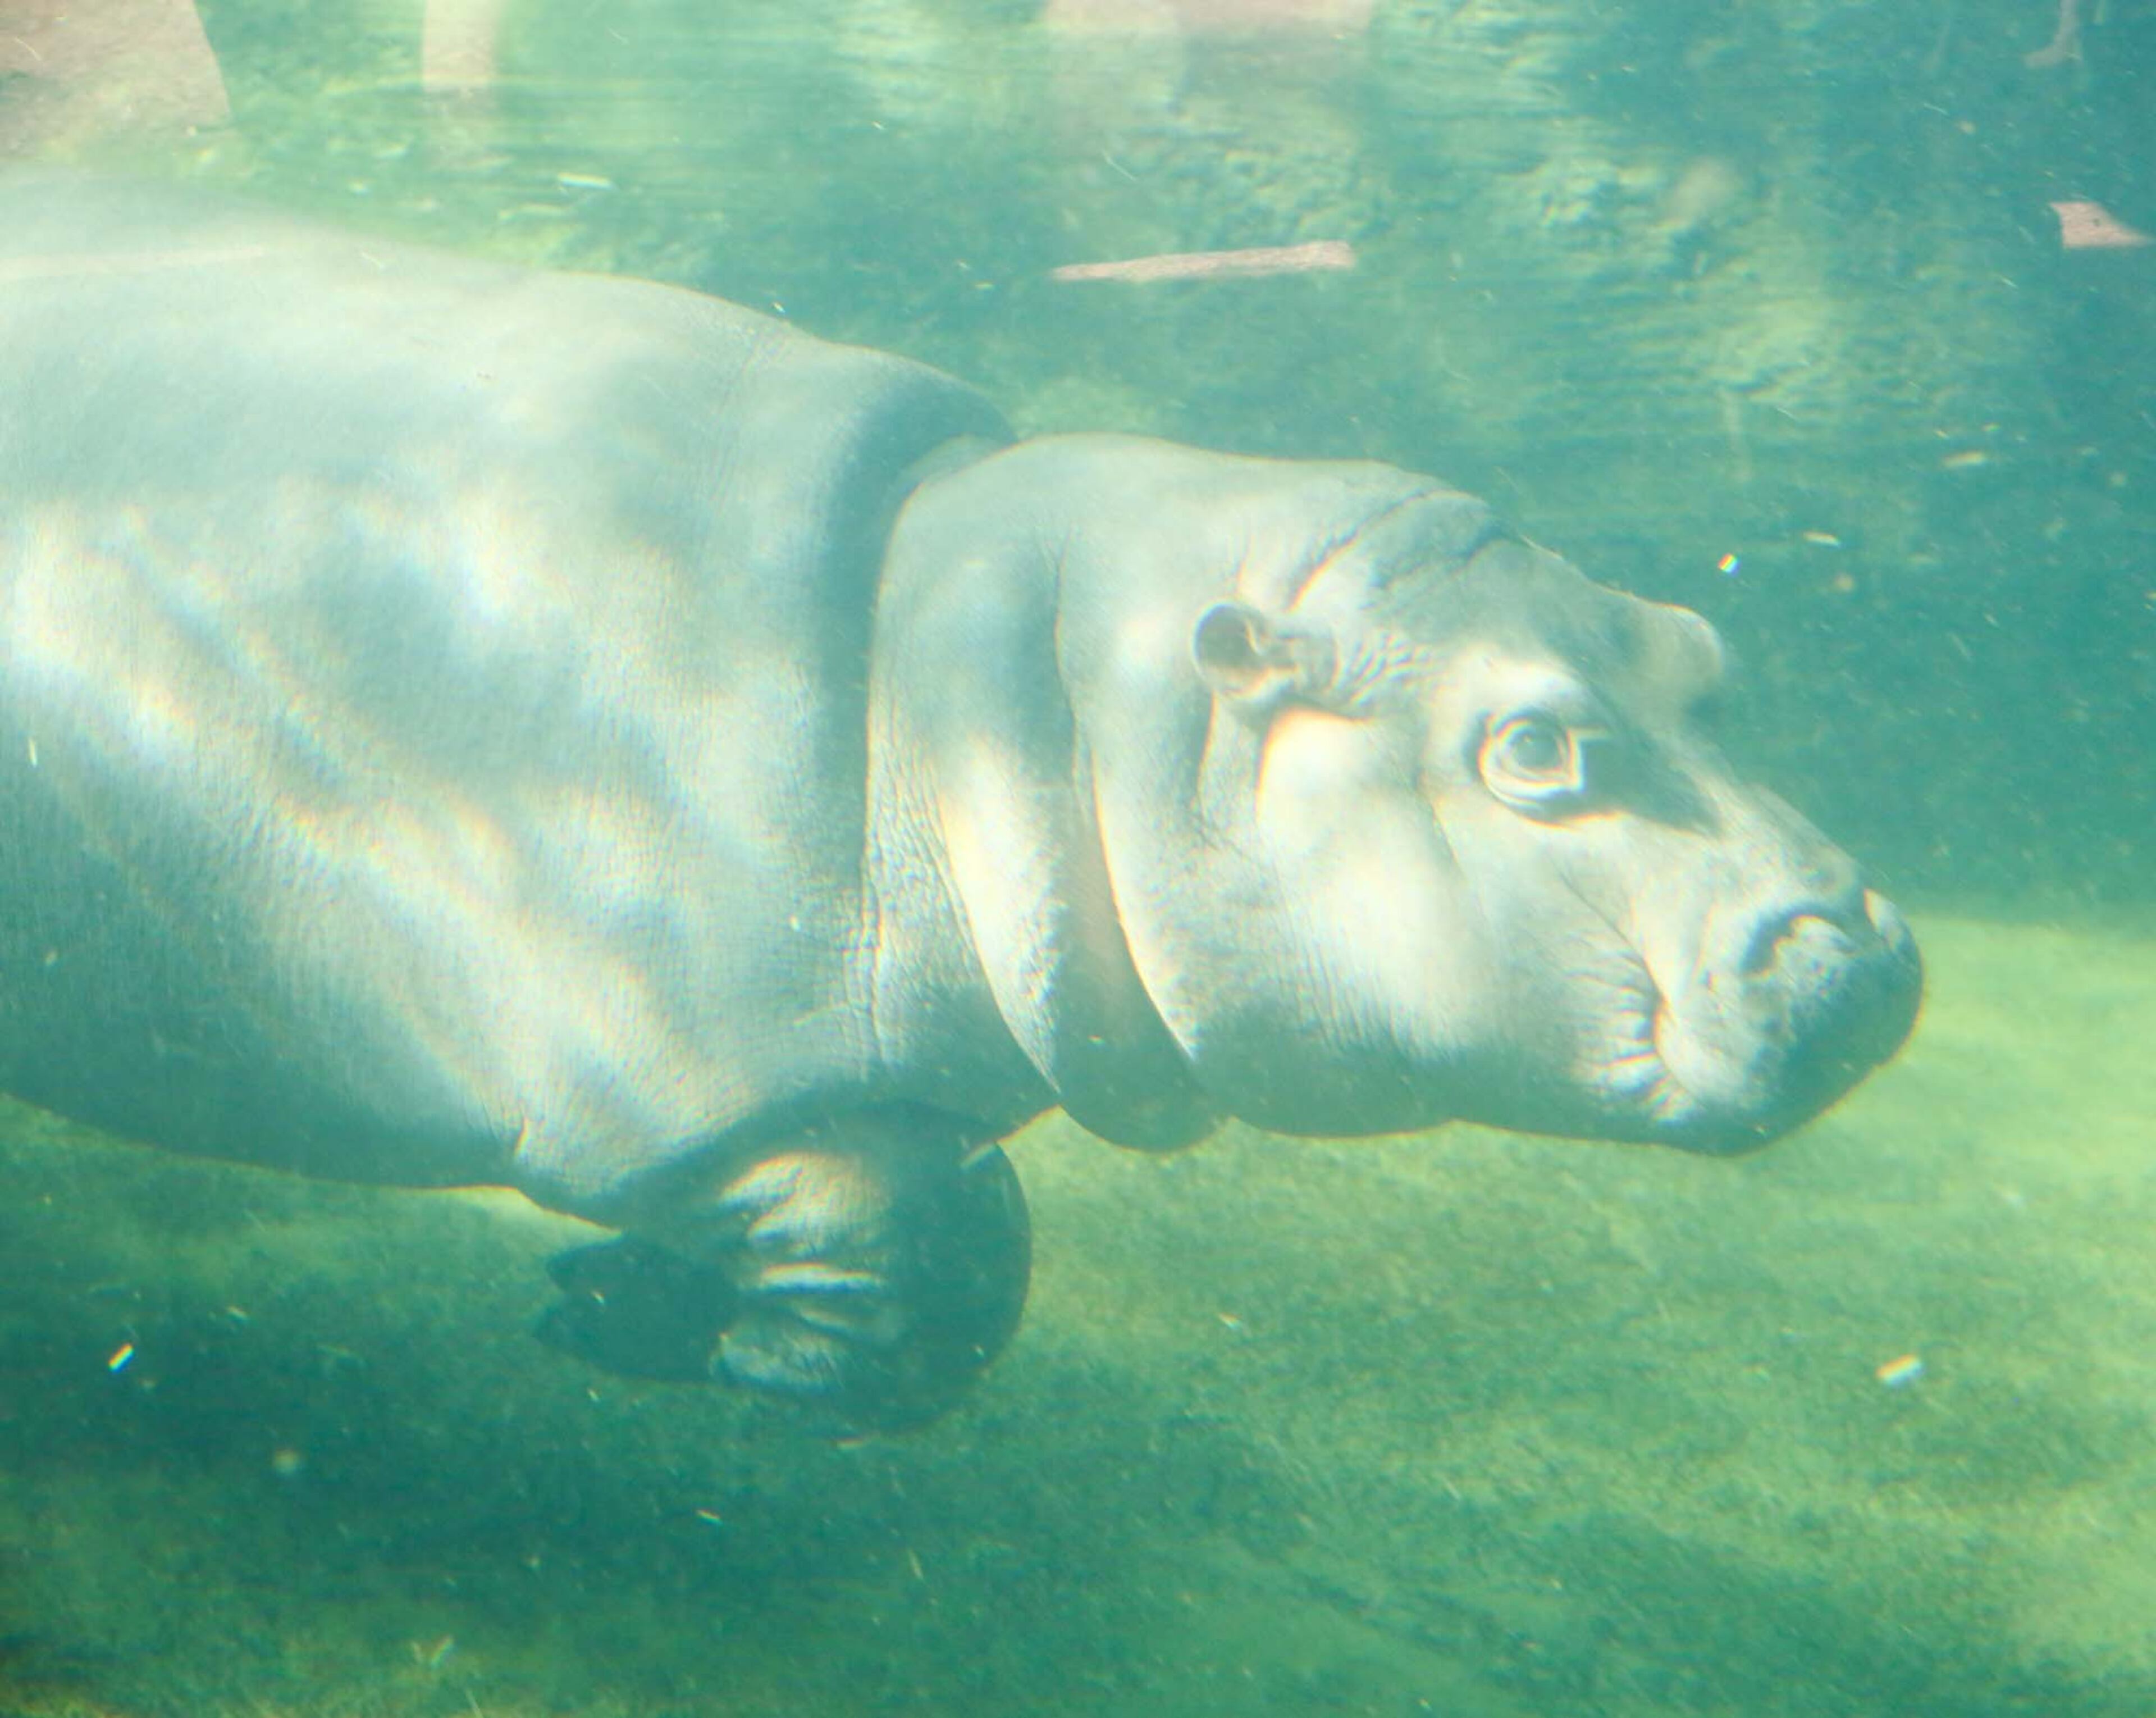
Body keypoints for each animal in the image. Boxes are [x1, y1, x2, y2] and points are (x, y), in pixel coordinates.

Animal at [0, 175, 1920, 1429]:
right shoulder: (674, 1078)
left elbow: (956, 1262)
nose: (1860, 953)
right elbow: (938, 1238)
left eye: (1697, 647)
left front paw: (625, 1311)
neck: (984, 672)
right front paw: (689, 1336)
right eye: (1529, 745)